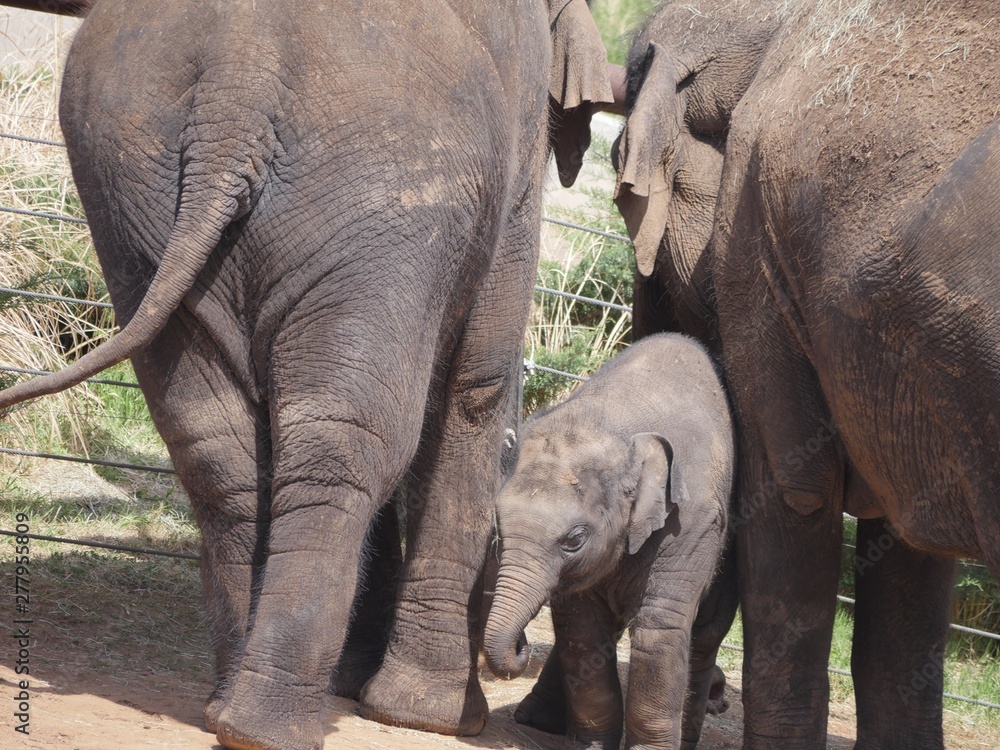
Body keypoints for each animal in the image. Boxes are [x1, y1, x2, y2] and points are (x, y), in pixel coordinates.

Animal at [0, 1, 616, 749]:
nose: (521, 655)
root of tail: (235, 85)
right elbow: (477, 387)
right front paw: (429, 717)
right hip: (381, 192)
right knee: (347, 440)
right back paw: (268, 726)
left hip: (129, 188)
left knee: (220, 446)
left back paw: (229, 711)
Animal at [483, 333, 734, 750]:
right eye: (499, 527)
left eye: (575, 539)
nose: (520, 647)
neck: (611, 421)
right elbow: (581, 631)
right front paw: (591, 746)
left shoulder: (691, 521)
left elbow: (659, 627)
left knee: (704, 633)